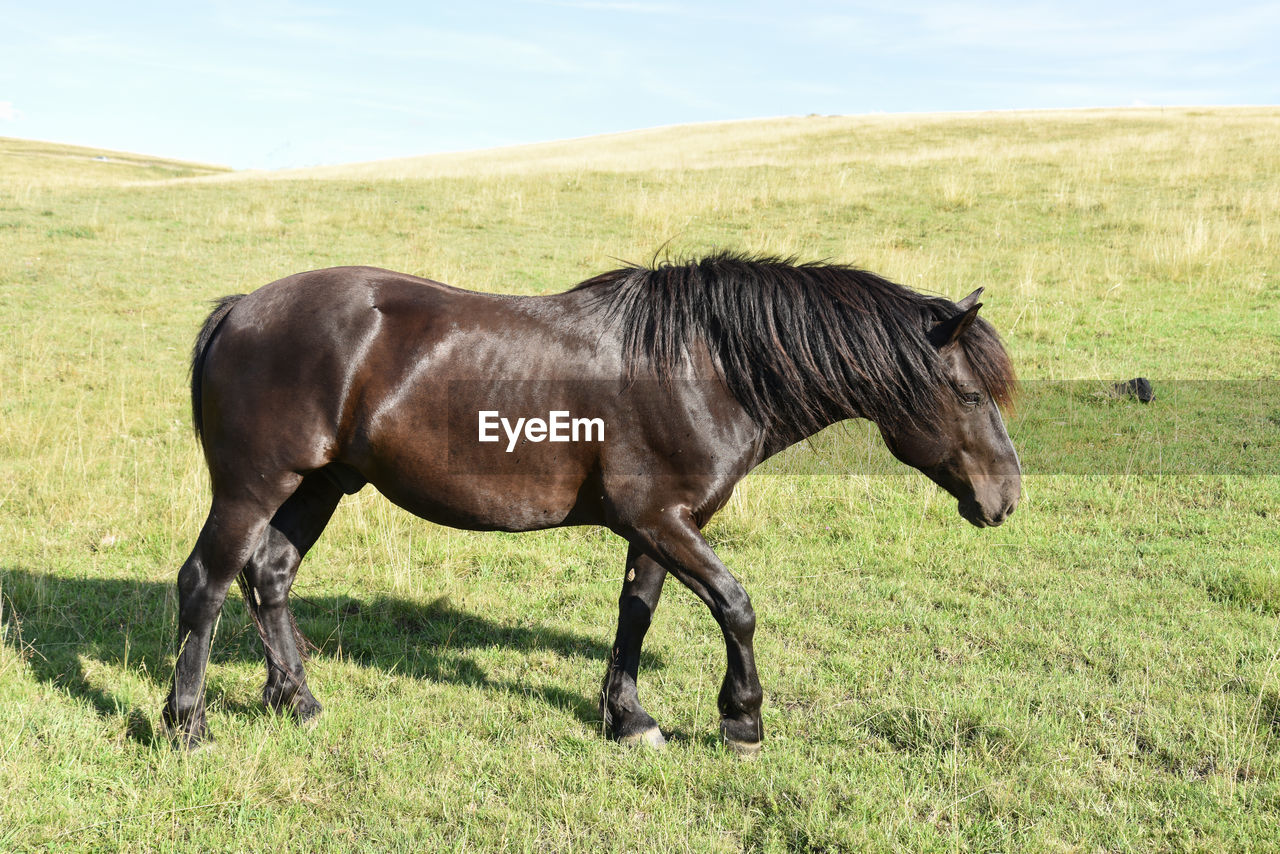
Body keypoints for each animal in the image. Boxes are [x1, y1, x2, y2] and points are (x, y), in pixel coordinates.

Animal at [162, 253, 1018, 752]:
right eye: (970, 393)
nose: (1007, 498)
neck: (703, 364)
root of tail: (242, 308)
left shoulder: (663, 524)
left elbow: (636, 612)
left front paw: (628, 717)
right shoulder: (662, 521)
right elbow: (736, 606)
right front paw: (742, 718)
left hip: (320, 483)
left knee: (270, 576)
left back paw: (297, 701)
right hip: (253, 486)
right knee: (206, 583)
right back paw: (188, 725)